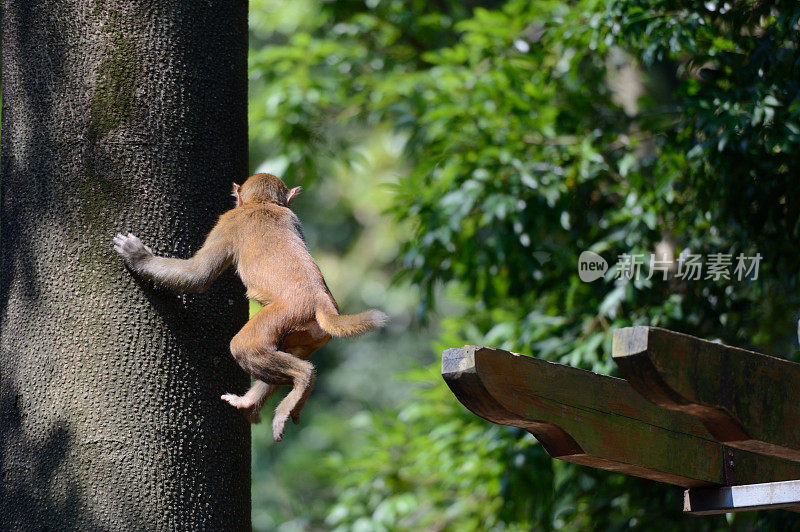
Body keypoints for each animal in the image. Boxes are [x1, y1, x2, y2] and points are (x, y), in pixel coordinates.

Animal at [112, 174, 388, 440]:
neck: (263, 204)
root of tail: (320, 298)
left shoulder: (229, 221)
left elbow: (198, 276)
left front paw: (138, 257)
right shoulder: (292, 218)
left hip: (282, 313)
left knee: (245, 347)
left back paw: (302, 378)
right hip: (311, 333)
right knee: (288, 351)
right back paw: (251, 402)